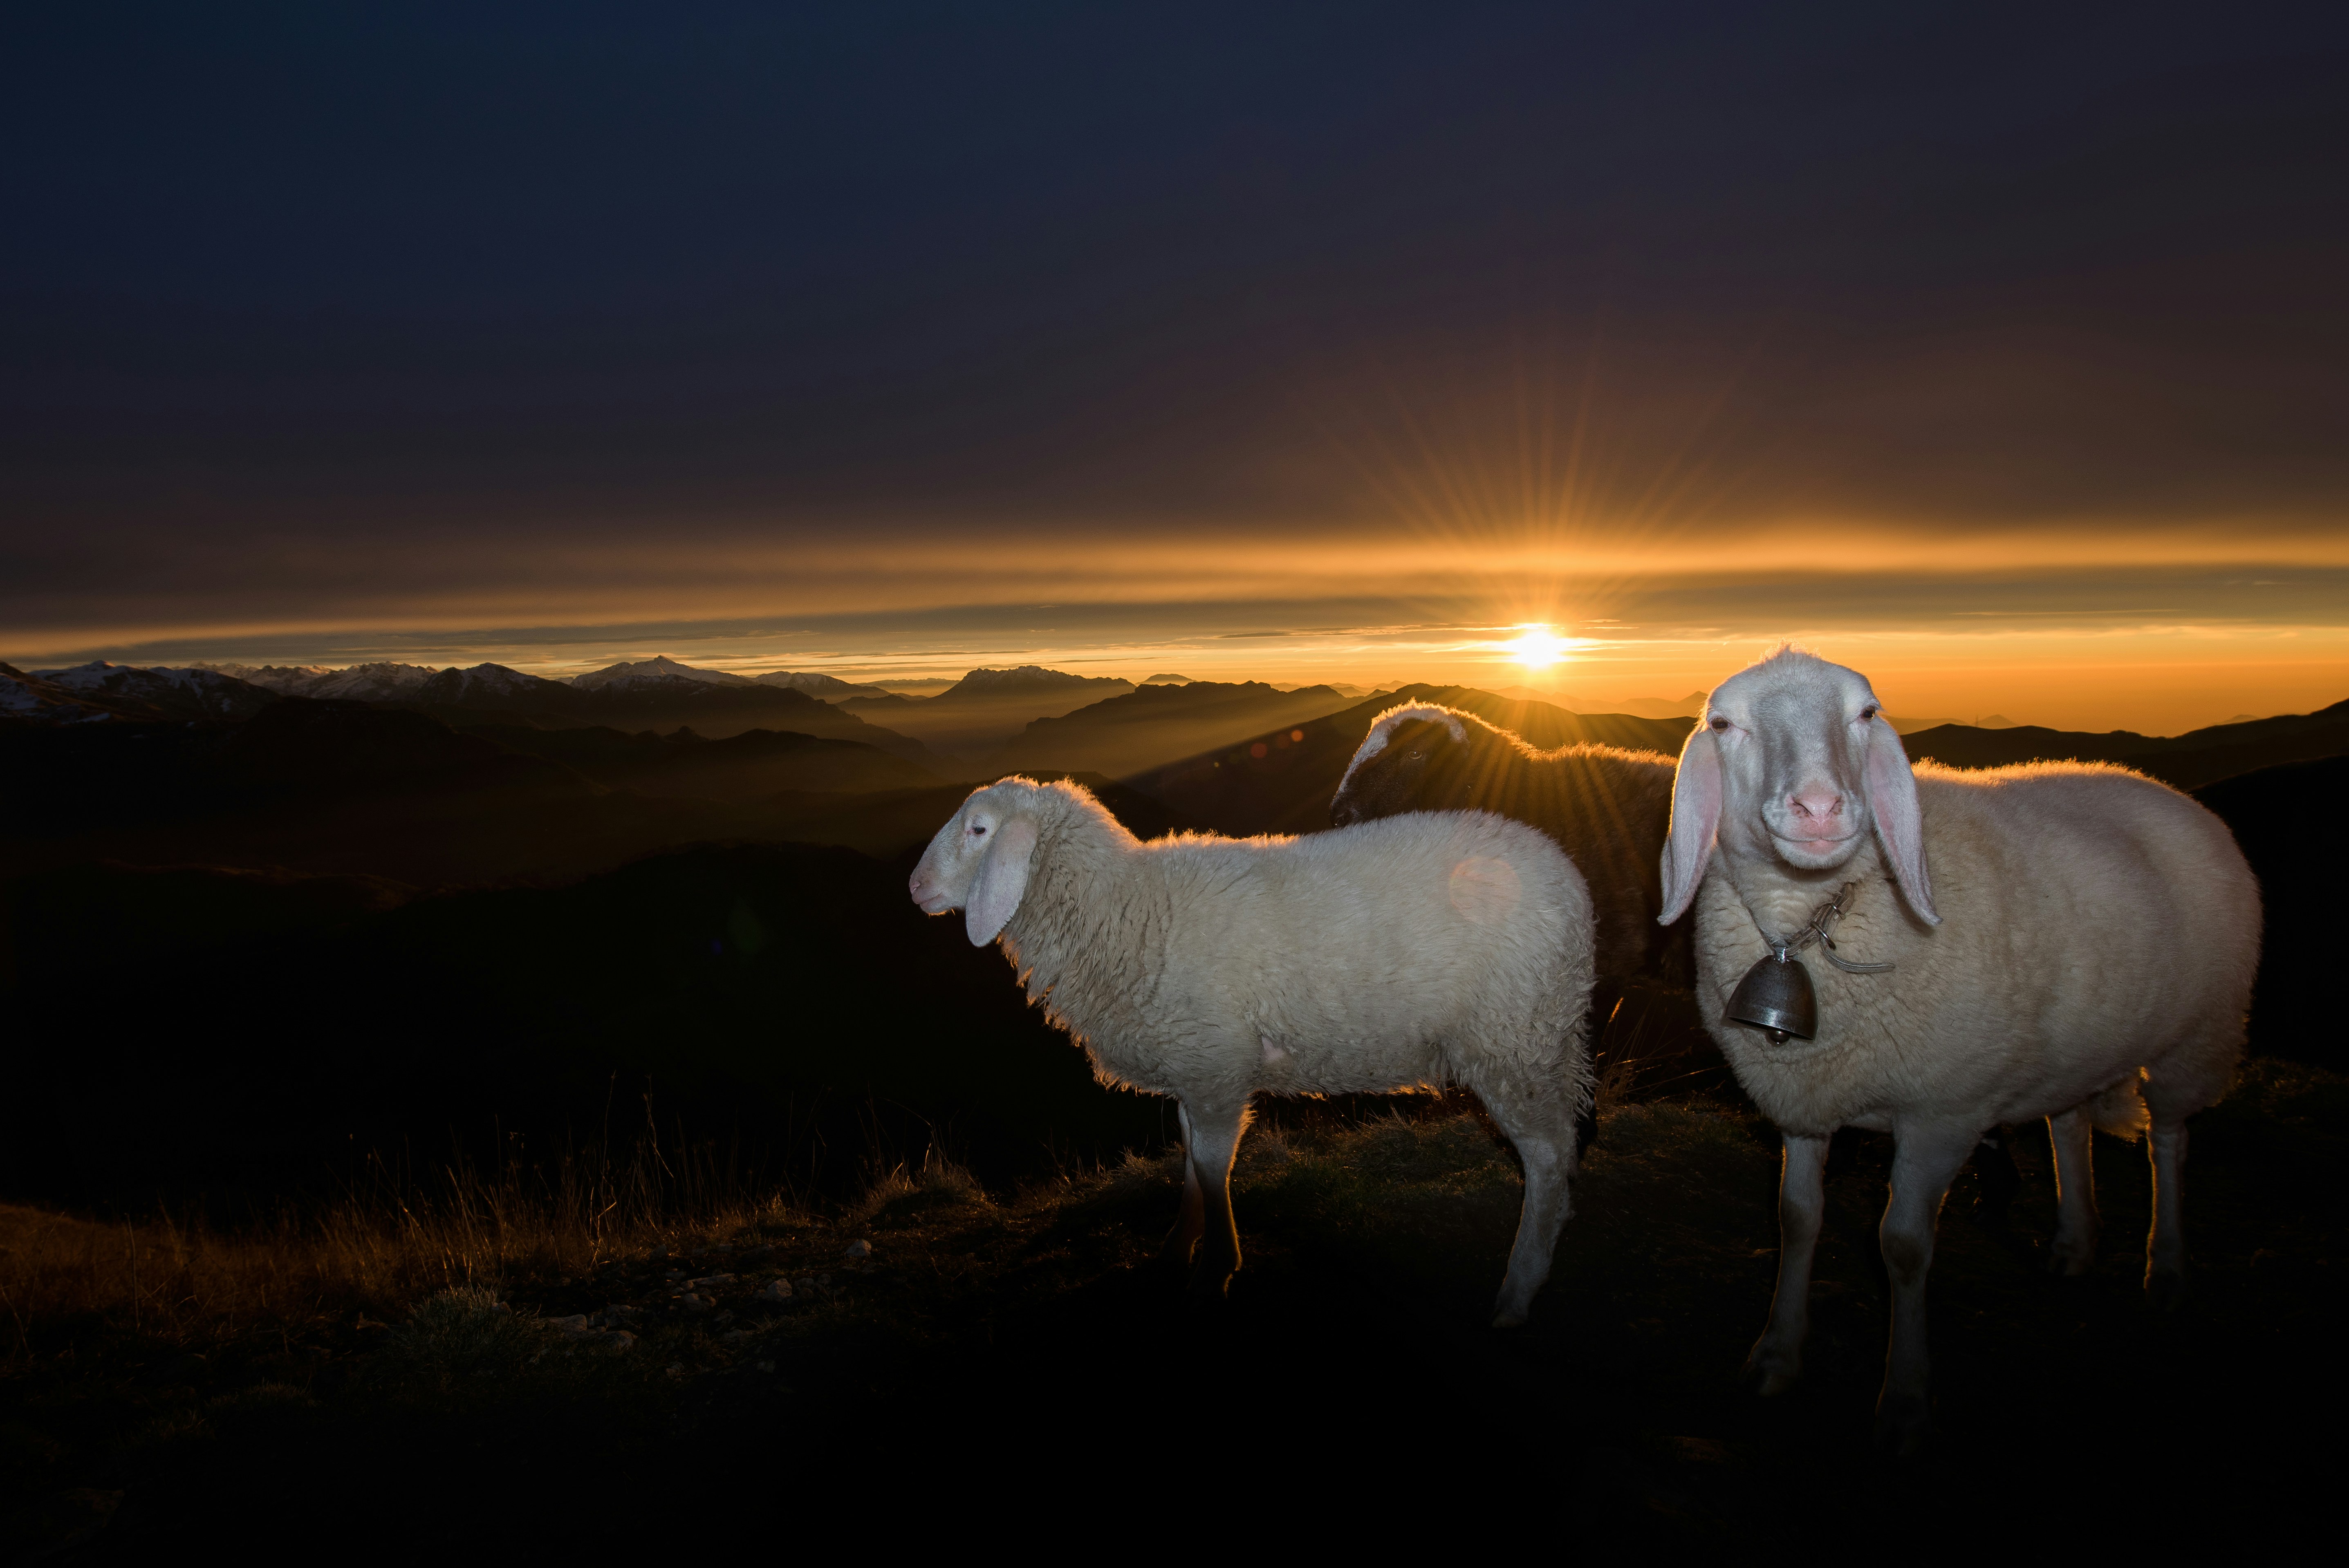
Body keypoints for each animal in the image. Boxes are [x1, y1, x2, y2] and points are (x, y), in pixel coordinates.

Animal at [909, 776, 1597, 1326]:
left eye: (978, 829)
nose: (914, 886)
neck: (1127, 910)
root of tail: (1571, 886)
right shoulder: (1193, 1067)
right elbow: (1190, 1160)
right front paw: (1177, 1245)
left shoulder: (1216, 1065)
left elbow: (1214, 1167)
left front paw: (1214, 1271)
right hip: (1537, 1038)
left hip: (1512, 1038)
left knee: (1544, 1156)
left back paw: (1519, 1286)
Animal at [1658, 648, 2260, 1452]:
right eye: (1723, 724)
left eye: (1866, 713)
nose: (1819, 809)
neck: (1809, 925)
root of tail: (2160, 789)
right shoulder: (1803, 1096)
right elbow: (1796, 1219)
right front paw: (1777, 1356)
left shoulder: (1942, 1112)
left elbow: (1904, 1247)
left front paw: (1906, 1400)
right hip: (2071, 1047)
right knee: (2069, 1123)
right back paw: (2075, 1242)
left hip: (2195, 1036)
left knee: (2168, 1140)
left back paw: (2163, 1270)